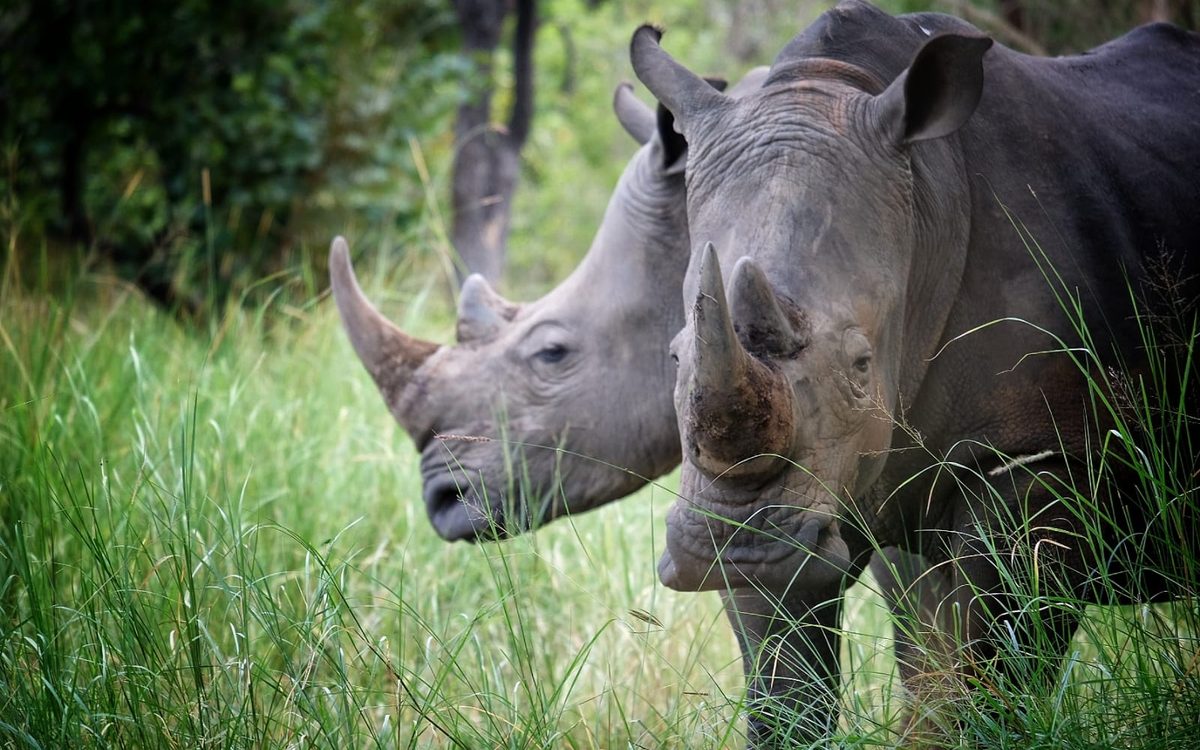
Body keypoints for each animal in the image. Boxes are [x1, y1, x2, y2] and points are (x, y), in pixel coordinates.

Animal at [633, 0, 1200, 743]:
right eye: (674, 356)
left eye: (861, 365)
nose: (733, 546)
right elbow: (790, 687)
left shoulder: (1038, 458)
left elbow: (994, 673)